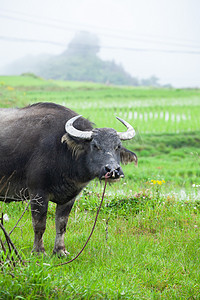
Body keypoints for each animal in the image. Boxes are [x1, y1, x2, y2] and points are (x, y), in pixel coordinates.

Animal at [0, 103, 137, 255]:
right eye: (95, 146)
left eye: (117, 146)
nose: (113, 171)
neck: (63, 152)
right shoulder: (37, 193)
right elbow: (39, 224)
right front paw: (39, 251)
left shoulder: (70, 197)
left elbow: (61, 224)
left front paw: (60, 251)